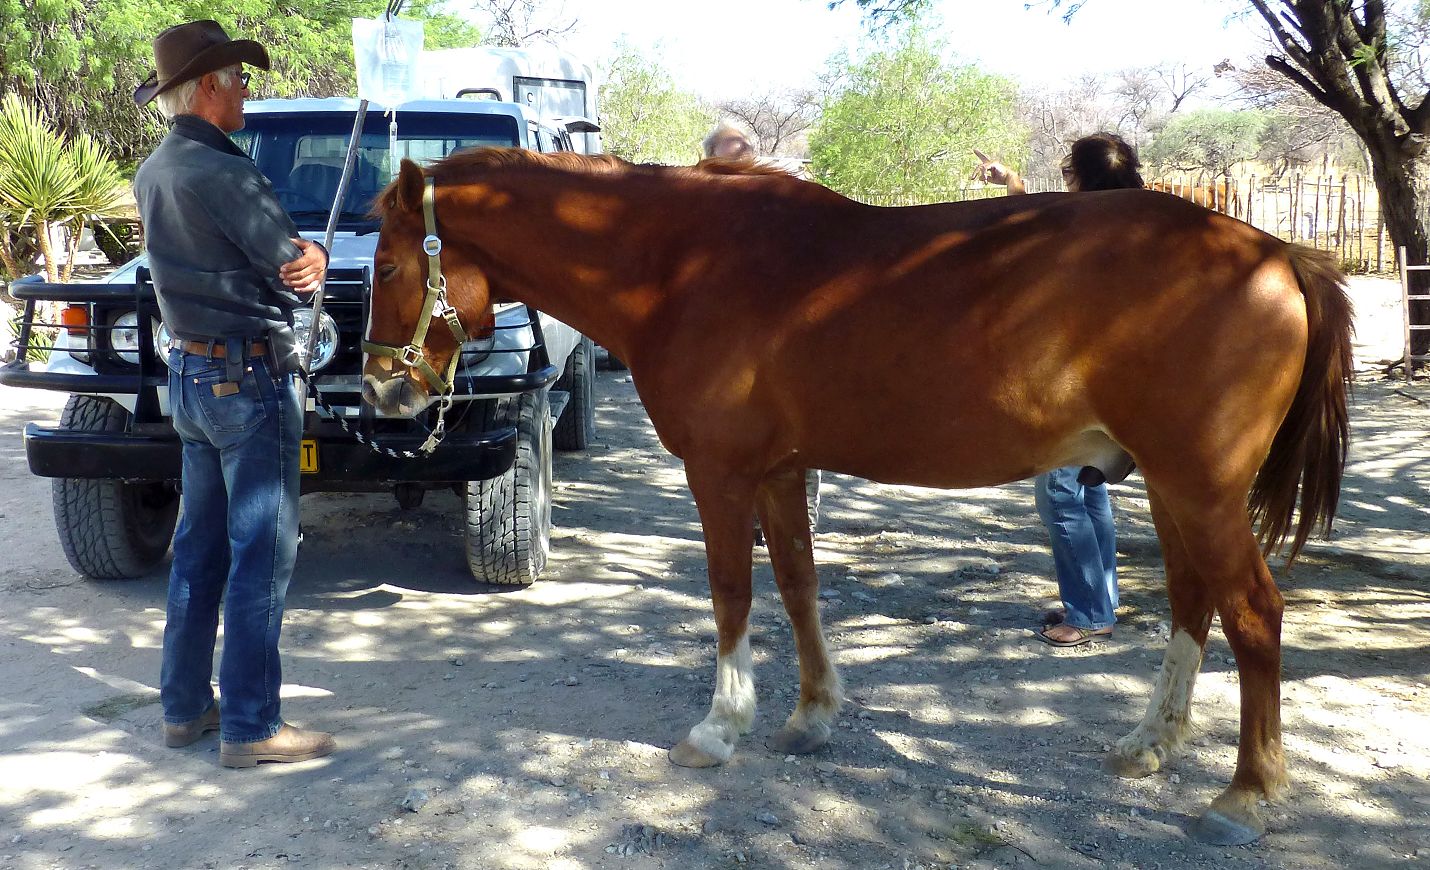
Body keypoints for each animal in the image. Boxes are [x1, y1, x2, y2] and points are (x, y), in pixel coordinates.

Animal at [363, 148, 1344, 841]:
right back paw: (1151, 744)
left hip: (1201, 488)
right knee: (1191, 601)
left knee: (1253, 613)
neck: (679, 263)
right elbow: (798, 586)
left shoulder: (719, 472)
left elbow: (732, 592)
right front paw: (810, 717)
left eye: (385, 268)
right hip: (1173, 487)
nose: (380, 393)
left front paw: (719, 729)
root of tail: (1274, 253)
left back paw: (1246, 793)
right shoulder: (781, 471)